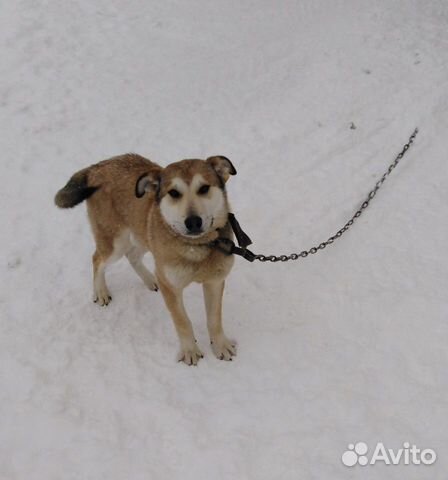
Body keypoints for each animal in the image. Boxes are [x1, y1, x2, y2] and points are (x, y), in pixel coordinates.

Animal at [55, 156, 238, 366]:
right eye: (174, 193)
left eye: (204, 188)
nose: (193, 222)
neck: (196, 247)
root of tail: (97, 168)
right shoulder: (171, 288)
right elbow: (183, 321)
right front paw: (190, 351)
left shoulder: (215, 281)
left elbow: (214, 319)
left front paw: (221, 346)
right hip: (116, 243)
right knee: (97, 258)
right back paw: (101, 292)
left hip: (142, 234)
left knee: (133, 256)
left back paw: (150, 279)